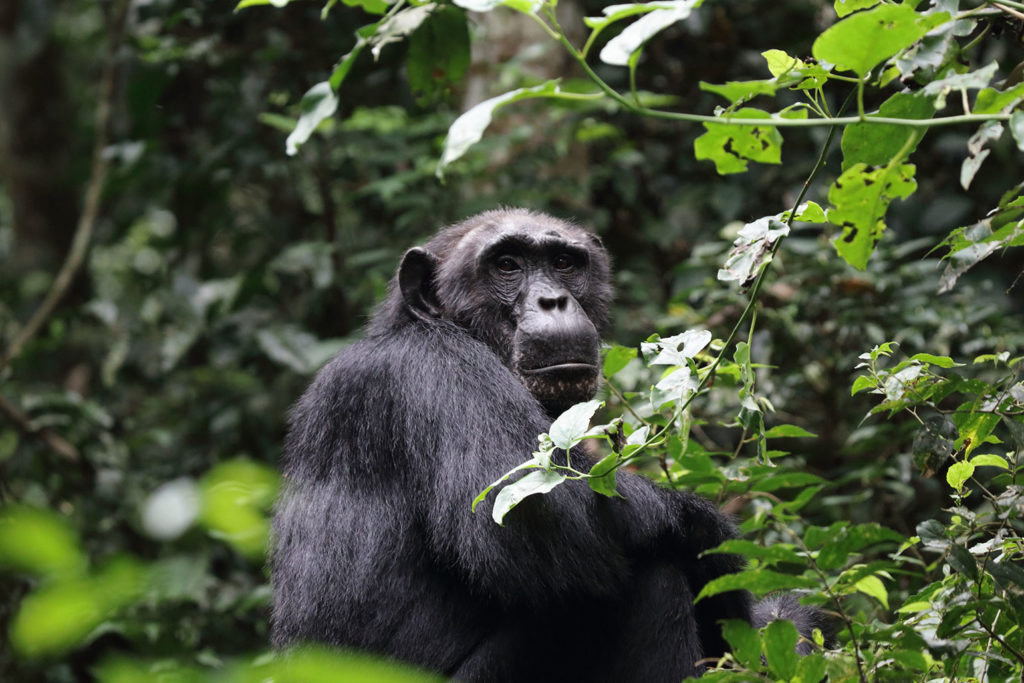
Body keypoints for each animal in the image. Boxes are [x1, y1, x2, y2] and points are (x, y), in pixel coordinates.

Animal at [270, 208, 823, 679]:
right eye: (506, 265)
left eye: (563, 263)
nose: (553, 300)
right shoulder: (440, 372)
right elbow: (537, 518)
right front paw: (716, 545)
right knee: (645, 580)